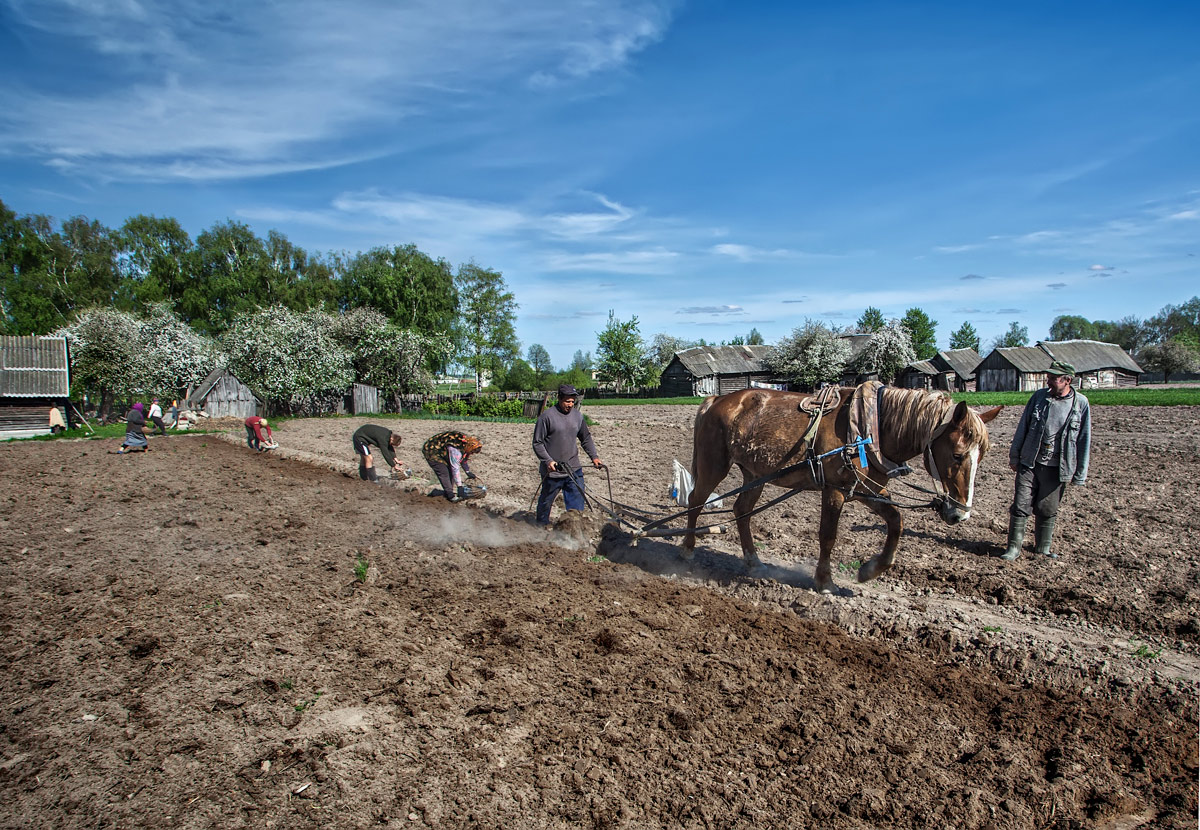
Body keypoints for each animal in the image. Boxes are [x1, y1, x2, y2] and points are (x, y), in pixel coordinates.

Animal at [686, 388, 1003, 590]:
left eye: (983, 455)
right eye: (958, 455)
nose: (960, 514)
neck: (869, 429)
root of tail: (717, 399)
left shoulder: (865, 489)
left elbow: (896, 521)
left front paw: (870, 570)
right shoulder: (835, 490)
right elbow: (828, 535)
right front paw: (825, 581)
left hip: (755, 474)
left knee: (742, 510)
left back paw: (754, 562)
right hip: (714, 464)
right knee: (696, 501)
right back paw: (687, 549)